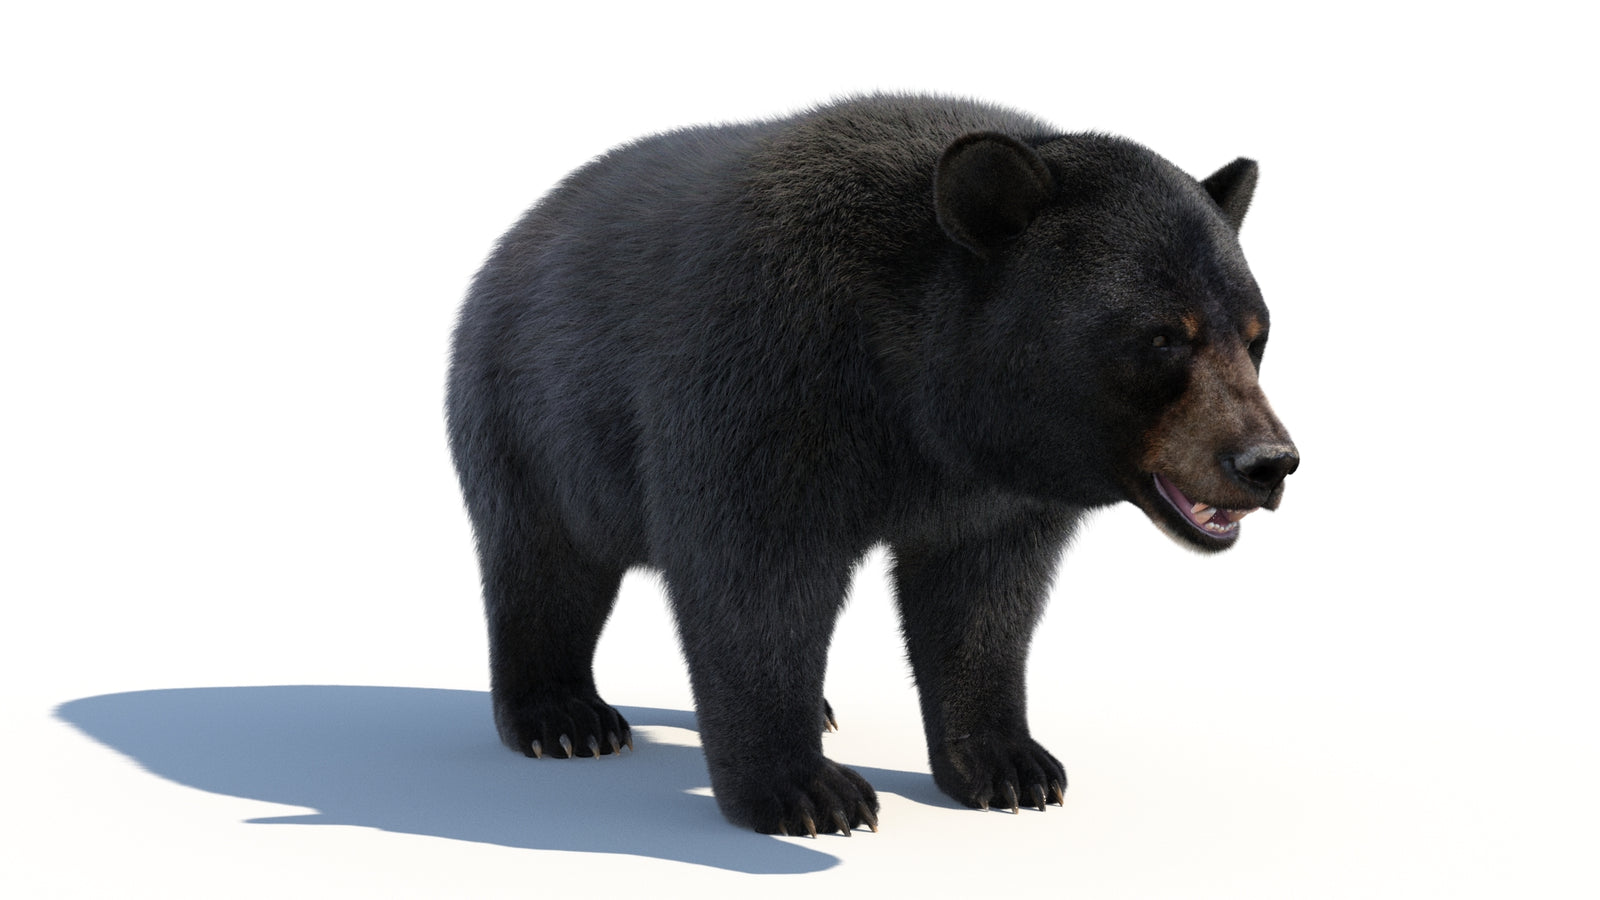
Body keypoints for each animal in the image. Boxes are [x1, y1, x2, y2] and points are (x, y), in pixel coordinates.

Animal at [446, 94, 1298, 837]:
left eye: (1255, 334)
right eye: (1163, 337)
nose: (1269, 462)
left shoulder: (994, 491)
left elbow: (984, 600)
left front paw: (1010, 765)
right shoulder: (765, 374)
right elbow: (754, 577)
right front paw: (804, 791)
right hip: (531, 415)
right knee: (544, 565)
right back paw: (564, 717)